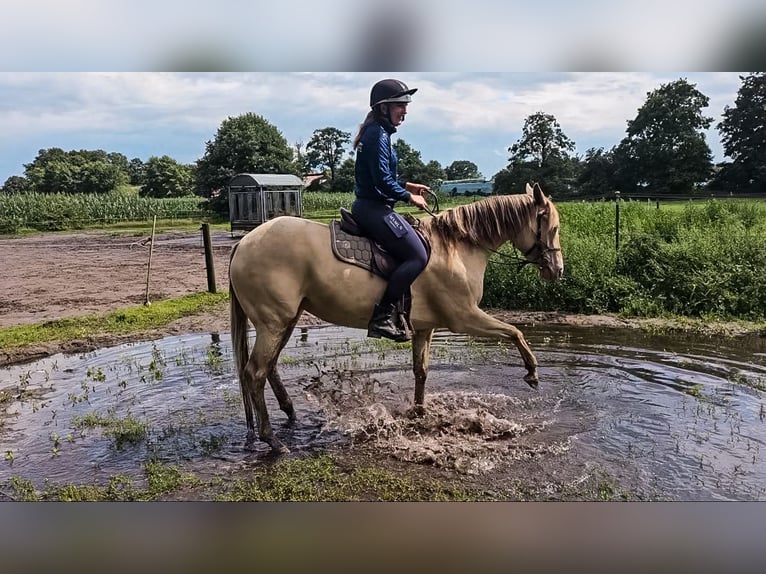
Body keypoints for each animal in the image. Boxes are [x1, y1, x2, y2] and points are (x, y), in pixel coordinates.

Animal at [228, 184, 564, 454]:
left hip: (286, 321)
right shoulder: (465, 318)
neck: (455, 250)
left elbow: (421, 371)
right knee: (255, 373)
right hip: (273, 323)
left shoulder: (426, 328)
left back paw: (289, 413)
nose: (557, 270)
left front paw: (419, 415)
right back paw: (273, 440)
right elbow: (515, 332)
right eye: (553, 228)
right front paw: (532, 372)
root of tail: (244, 243)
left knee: (269, 368)